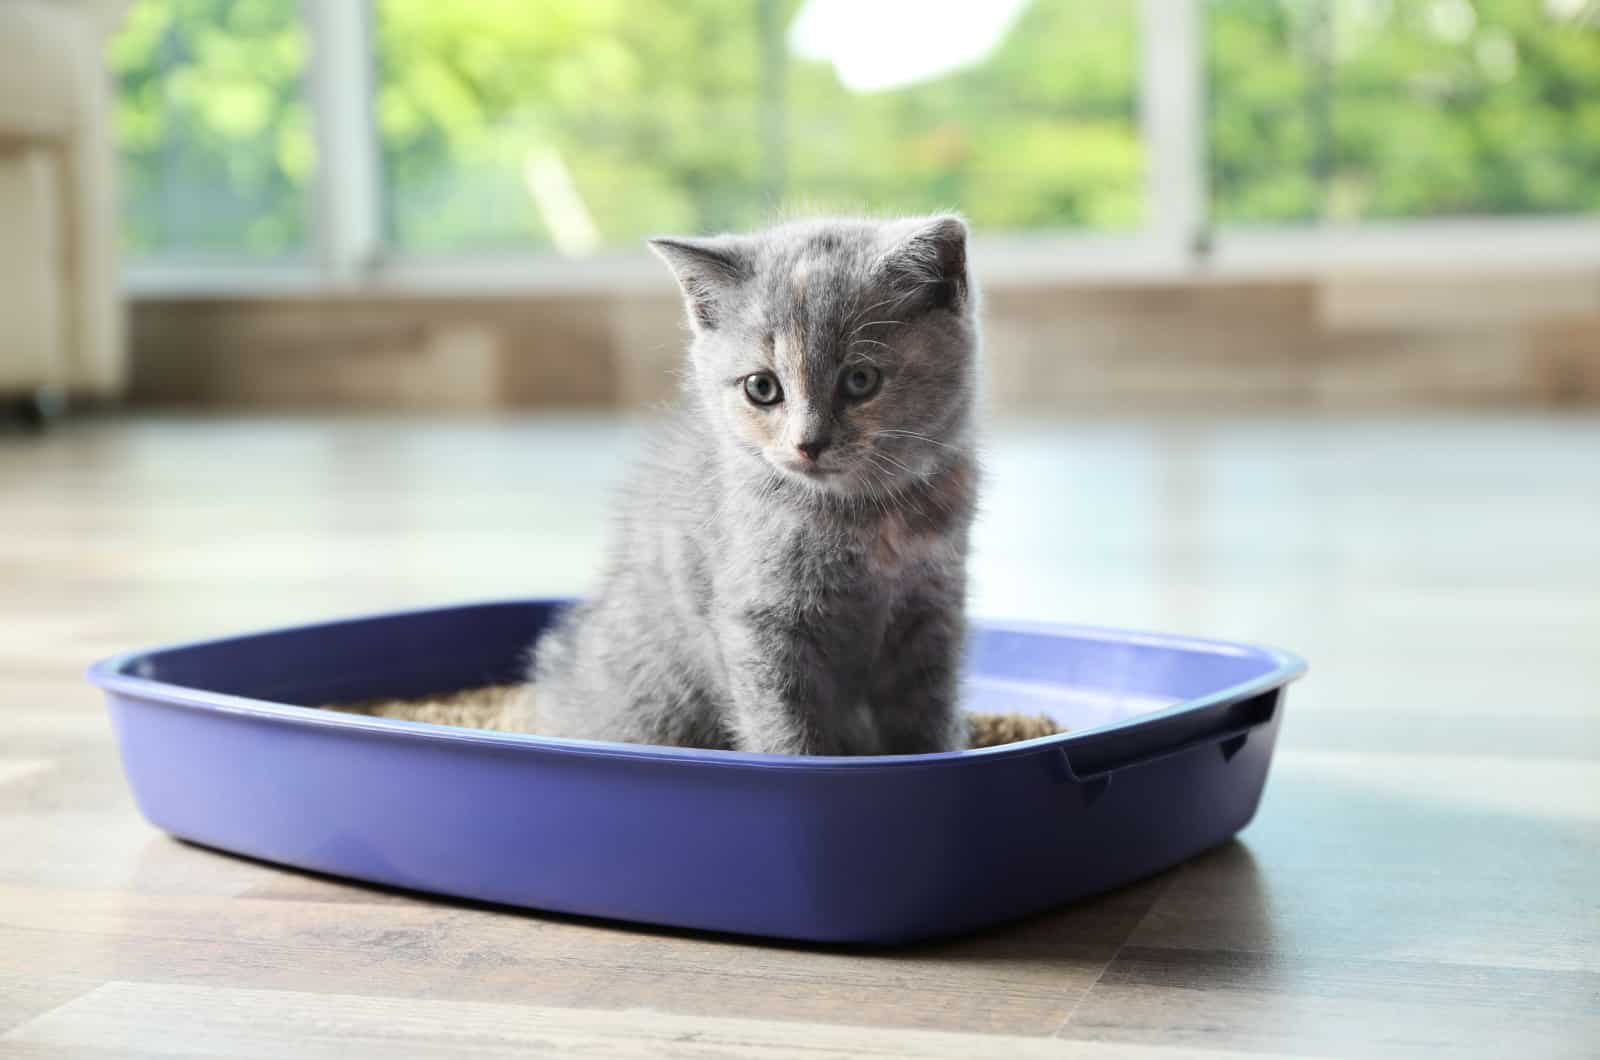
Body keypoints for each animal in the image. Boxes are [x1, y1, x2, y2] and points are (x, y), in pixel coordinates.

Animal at [524, 216, 972, 758]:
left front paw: (939, 755)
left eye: (861, 379)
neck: (861, 517)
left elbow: (928, 714)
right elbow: (785, 724)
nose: (808, 443)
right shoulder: (759, 622)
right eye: (762, 387)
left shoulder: (932, 611)